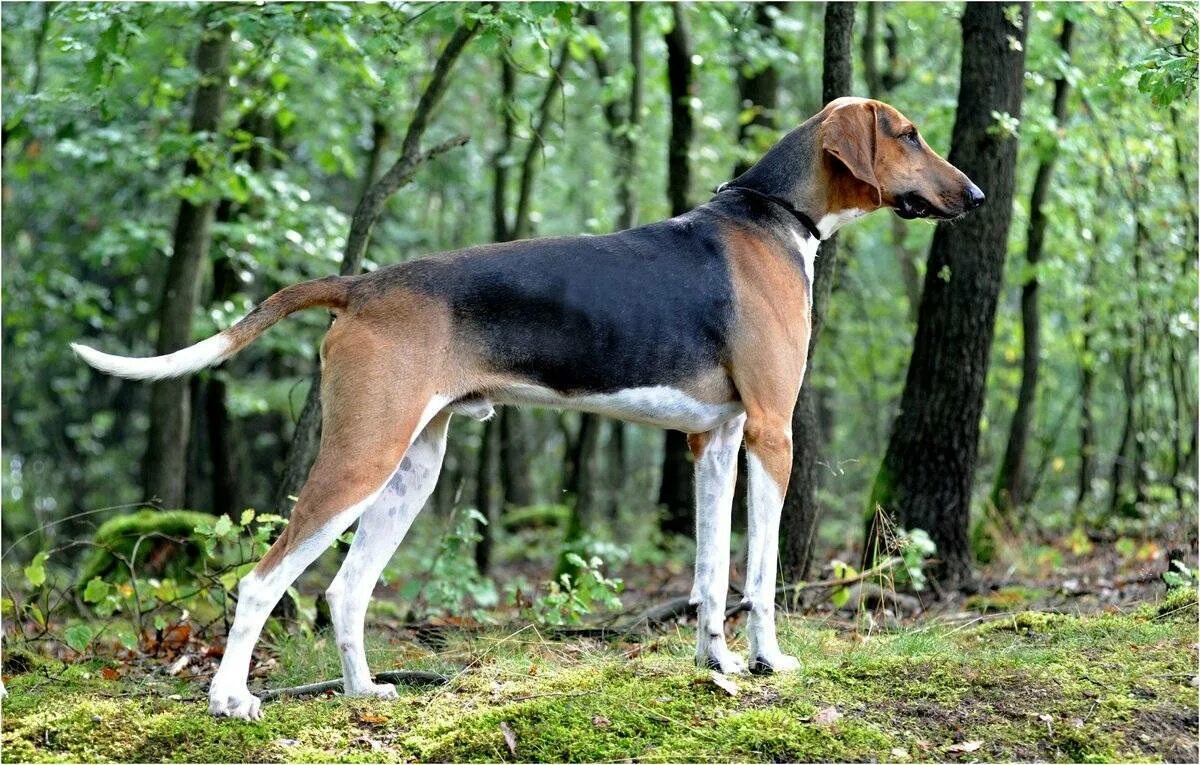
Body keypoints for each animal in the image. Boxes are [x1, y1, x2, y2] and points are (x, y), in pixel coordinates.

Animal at [70, 97, 979, 719]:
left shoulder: (713, 442)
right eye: (908, 135)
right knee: (261, 582)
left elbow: (709, 572)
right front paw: (768, 663)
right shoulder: (770, 433)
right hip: (361, 456)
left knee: (347, 589)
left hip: (414, 465)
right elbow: (757, 573)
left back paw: (365, 689)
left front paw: (714, 664)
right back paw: (230, 699)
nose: (972, 194)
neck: (773, 216)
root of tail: (364, 283)